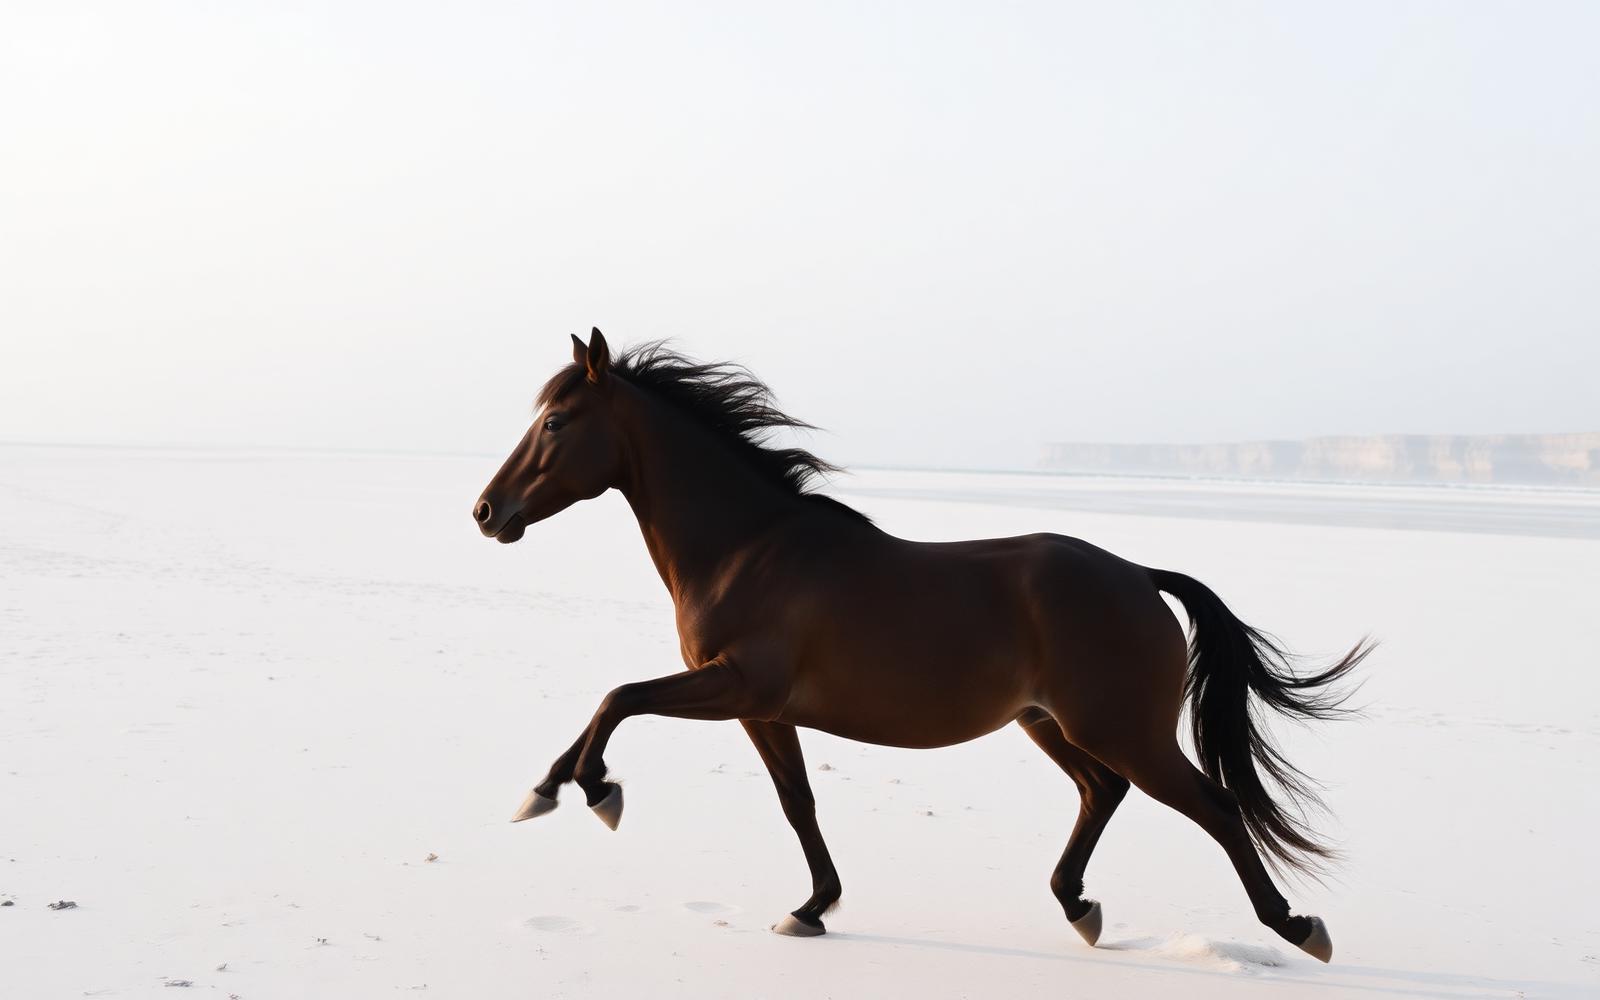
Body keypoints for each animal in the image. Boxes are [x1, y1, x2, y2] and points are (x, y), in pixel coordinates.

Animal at [473, 328, 1369, 962]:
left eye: (555, 421)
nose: (487, 512)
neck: (748, 548)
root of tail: (1140, 578)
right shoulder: (762, 710)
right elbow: (794, 801)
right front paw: (810, 908)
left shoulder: (738, 688)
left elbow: (617, 698)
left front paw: (589, 791)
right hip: (1050, 723)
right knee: (1102, 791)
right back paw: (1078, 905)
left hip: (1123, 730)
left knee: (1212, 807)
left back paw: (1297, 927)